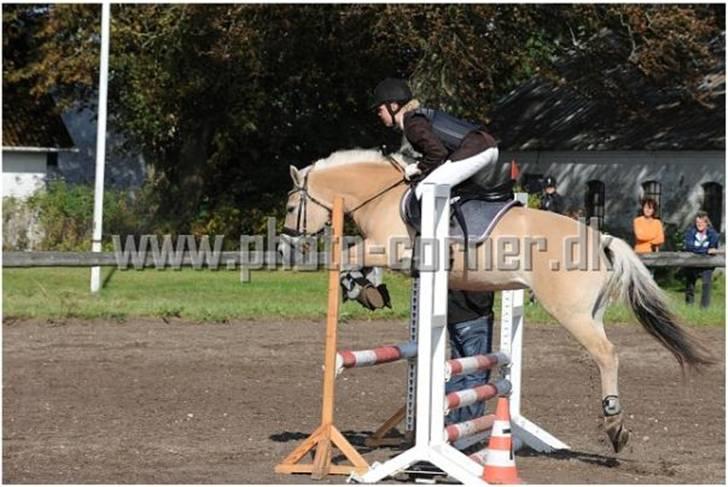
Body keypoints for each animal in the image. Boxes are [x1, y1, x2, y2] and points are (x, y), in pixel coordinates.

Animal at [282, 148, 712, 454]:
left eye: (289, 207)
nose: (285, 247)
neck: (383, 197)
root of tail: (601, 240)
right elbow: (357, 262)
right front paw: (369, 291)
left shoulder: (391, 250)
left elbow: (348, 257)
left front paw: (357, 287)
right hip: (592, 312)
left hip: (571, 313)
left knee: (606, 354)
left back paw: (614, 426)